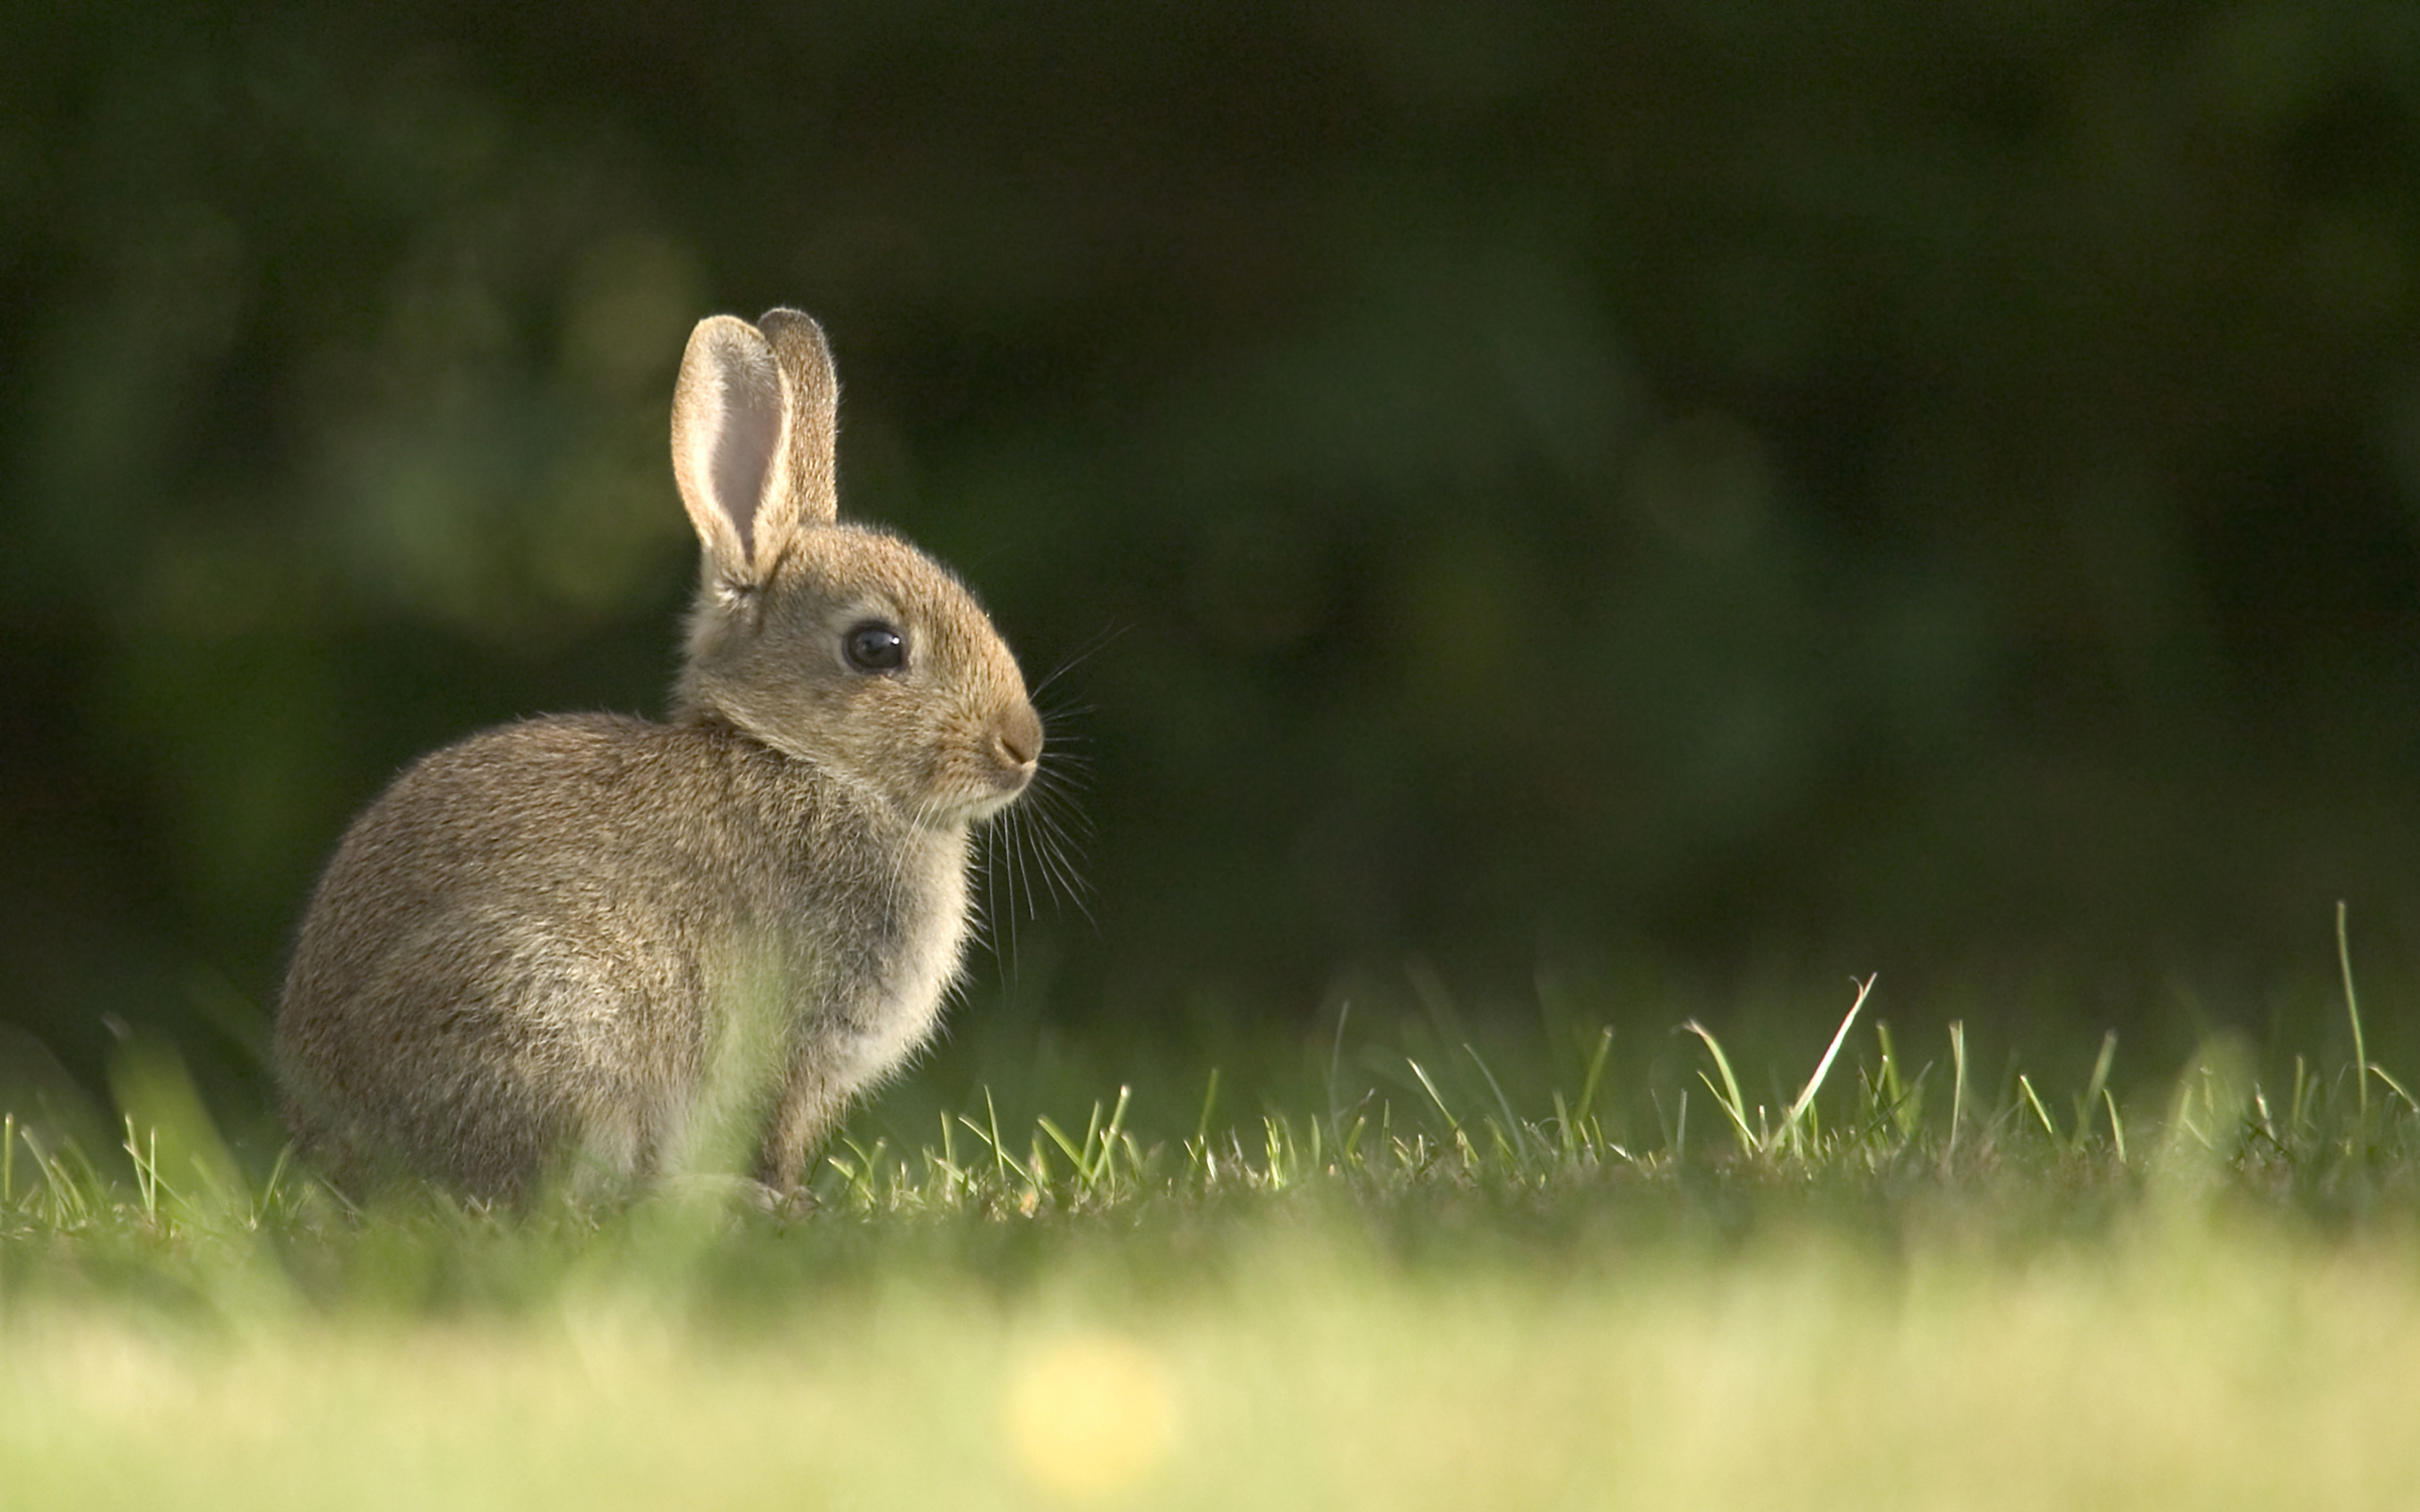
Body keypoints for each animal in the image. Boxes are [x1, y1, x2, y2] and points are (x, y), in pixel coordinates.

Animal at [274, 307, 1040, 1204]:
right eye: (876, 647)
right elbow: (774, 1135)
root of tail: (335, 1155)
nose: (1023, 746)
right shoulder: (792, 1048)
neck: (801, 760)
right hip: (549, 1020)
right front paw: (790, 1199)